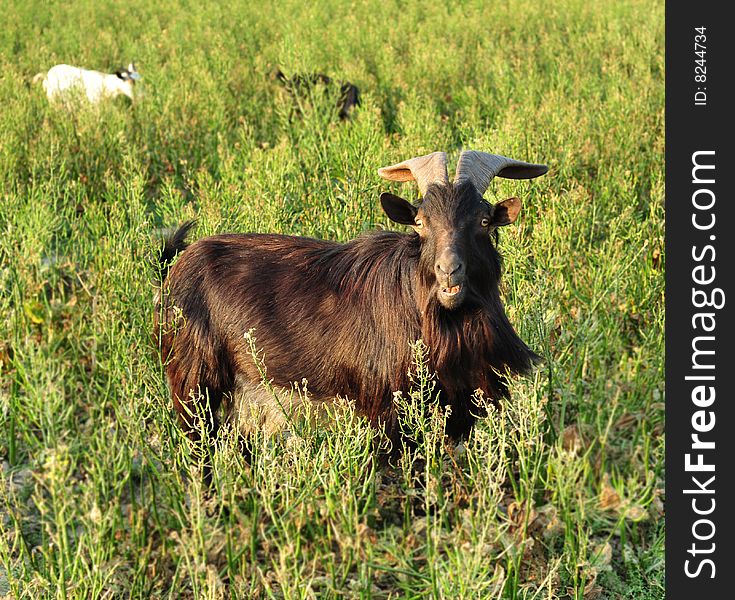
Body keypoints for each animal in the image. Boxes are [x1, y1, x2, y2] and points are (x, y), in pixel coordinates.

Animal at [155, 150, 548, 454]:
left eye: (483, 221)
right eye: (421, 222)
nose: (449, 271)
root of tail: (177, 265)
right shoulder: (387, 410)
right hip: (195, 380)